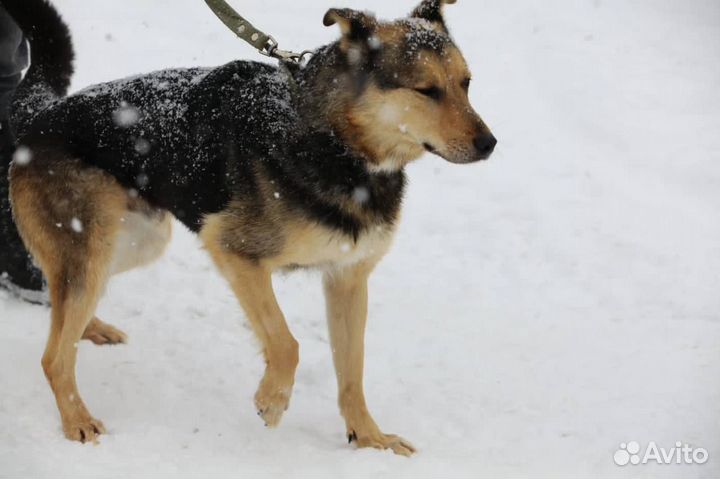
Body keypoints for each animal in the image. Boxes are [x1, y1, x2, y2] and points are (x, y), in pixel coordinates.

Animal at [5, 0, 496, 458]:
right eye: (427, 90)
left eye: (466, 83)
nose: (490, 144)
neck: (333, 141)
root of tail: (40, 116)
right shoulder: (233, 251)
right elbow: (286, 342)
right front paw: (272, 400)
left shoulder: (348, 278)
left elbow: (352, 371)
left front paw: (369, 438)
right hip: (97, 244)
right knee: (53, 355)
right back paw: (76, 419)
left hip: (136, 240)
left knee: (62, 303)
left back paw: (89, 327)